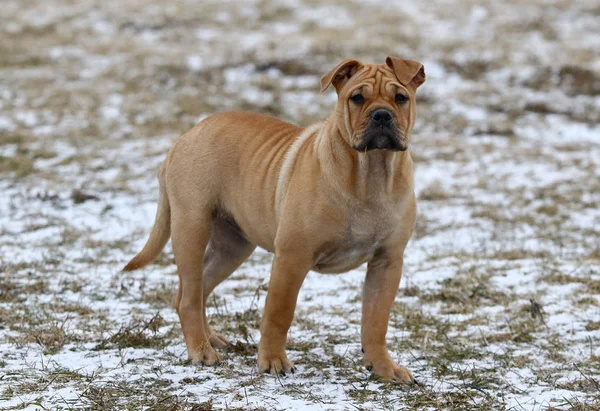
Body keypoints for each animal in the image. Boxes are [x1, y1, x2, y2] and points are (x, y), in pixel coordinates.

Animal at [124, 56, 426, 382]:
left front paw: (383, 367)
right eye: (357, 98)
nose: (382, 115)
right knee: (190, 296)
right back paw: (202, 352)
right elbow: (279, 312)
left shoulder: (387, 261)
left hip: (232, 247)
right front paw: (273, 361)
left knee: (195, 290)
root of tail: (185, 136)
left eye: (401, 98)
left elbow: (376, 320)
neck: (372, 172)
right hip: (192, 228)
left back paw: (211, 339)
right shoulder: (292, 256)